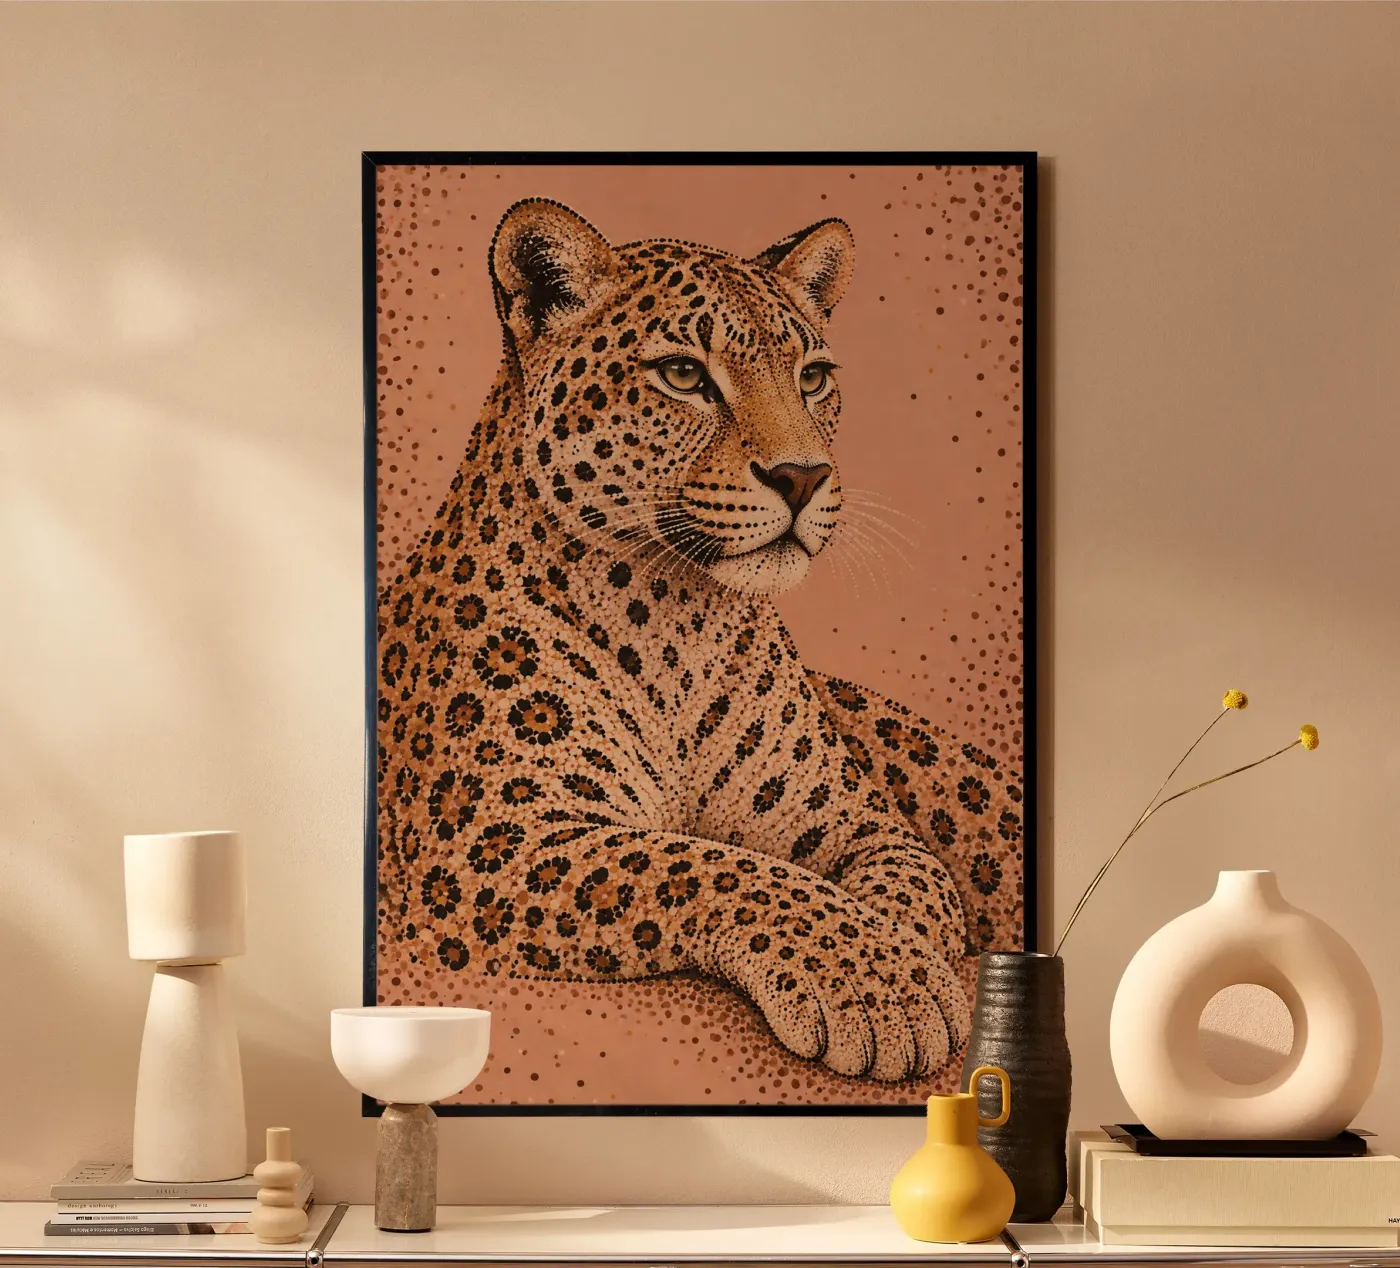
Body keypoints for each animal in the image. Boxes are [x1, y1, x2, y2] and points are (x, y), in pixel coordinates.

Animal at [376, 198, 1025, 1084]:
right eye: (684, 374)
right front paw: (885, 986)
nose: (802, 477)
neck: (679, 622)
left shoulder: (870, 828)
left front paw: (904, 968)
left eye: (811, 377)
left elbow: (908, 892)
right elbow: (712, 866)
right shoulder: (485, 842)